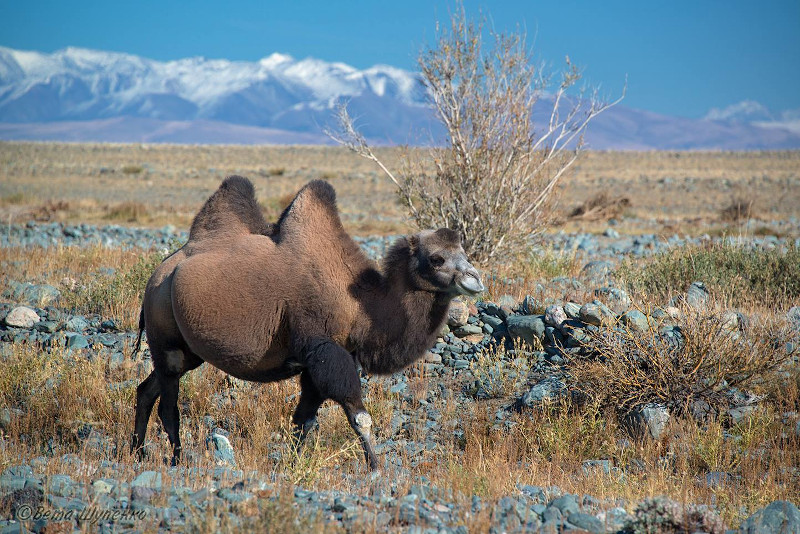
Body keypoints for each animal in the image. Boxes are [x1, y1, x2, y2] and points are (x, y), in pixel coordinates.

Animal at [132, 176, 484, 468]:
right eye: (436, 258)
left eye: (465, 252)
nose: (475, 279)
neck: (360, 304)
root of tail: (160, 273)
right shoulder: (323, 348)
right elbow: (359, 416)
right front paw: (376, 468)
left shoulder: (315, 362)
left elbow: (305, 420)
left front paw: (294, 465)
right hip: (166, 339)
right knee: (168, 406)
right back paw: (176, 460)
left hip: (188, 351)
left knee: (146, 390)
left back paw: (136, 453)